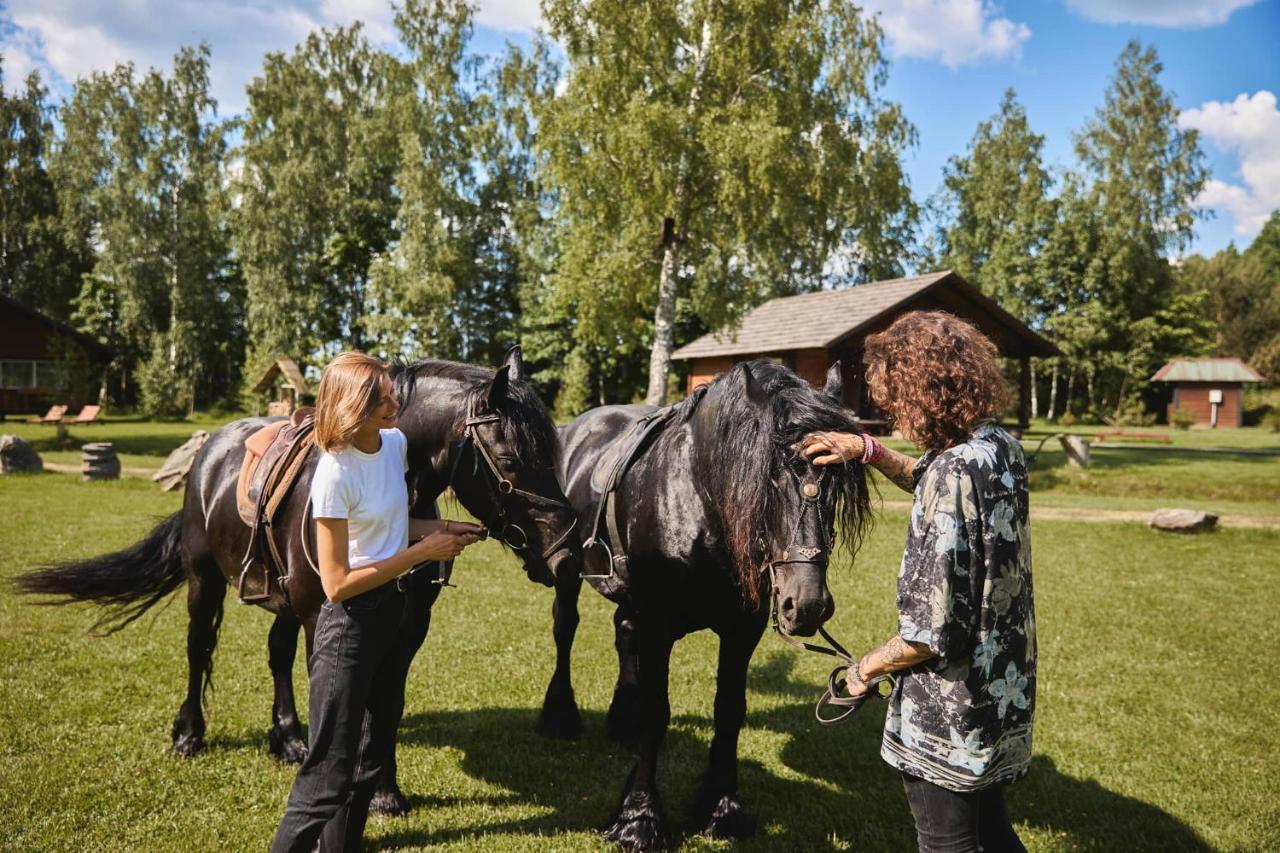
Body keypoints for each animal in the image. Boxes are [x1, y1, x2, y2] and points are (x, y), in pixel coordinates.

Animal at [17, 343, 578, 809]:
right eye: (510, 460)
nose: (565, 556)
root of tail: (210, 451)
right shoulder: (326, 617)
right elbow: (348, 700)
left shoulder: (407, 629)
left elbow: (387, 704)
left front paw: (385, 791)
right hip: (206, 580)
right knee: (199, 648)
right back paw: (190, 733)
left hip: (286, 602)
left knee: (277, 653)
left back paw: (287, 738)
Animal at [535, 356, 875, 845]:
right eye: (765, 479)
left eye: (834, 482)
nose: (806, 604)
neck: (696, 502)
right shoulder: (659, 624)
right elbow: (656, 713)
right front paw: (639, 820)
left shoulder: (741, 630)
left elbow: (729, 711)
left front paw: (722, 808)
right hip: (569, 576)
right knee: (565, 629)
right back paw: (560, 717)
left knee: (624, 633)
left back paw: (621, 720)